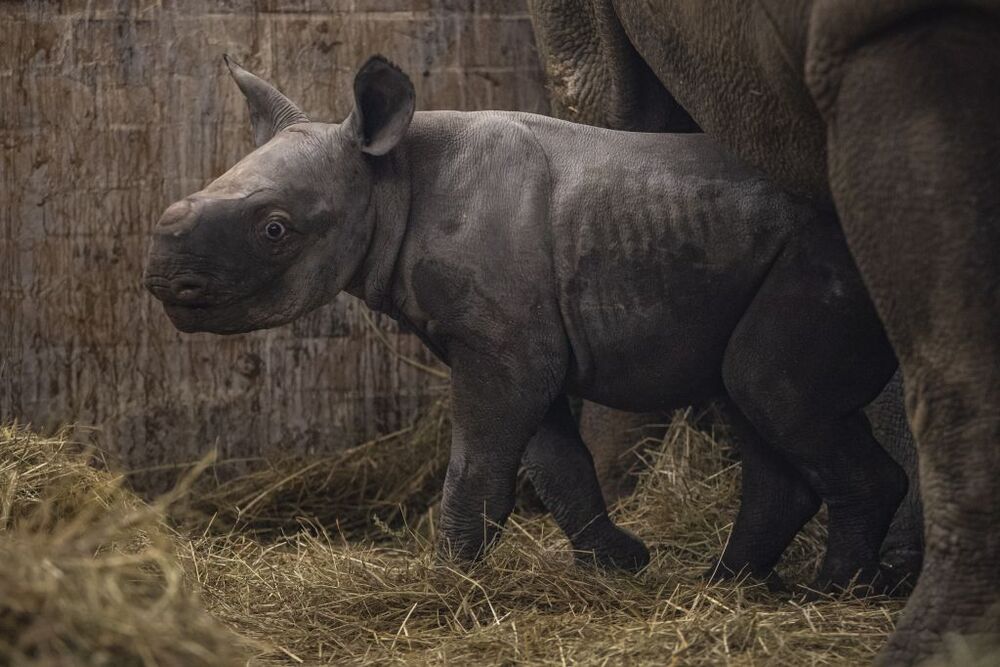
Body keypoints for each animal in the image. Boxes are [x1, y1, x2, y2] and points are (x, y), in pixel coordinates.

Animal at [146, 54, 908, 592]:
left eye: (274, 228)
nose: (158, 269)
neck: (390, 177)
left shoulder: (504, 349)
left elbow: (481, 464)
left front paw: (447, 582)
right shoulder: (505, 342)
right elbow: (557, 463)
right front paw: (619, 565)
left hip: (825, 256)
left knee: (770, 387)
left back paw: (830, 592)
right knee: (748, 398)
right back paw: (727, 587)